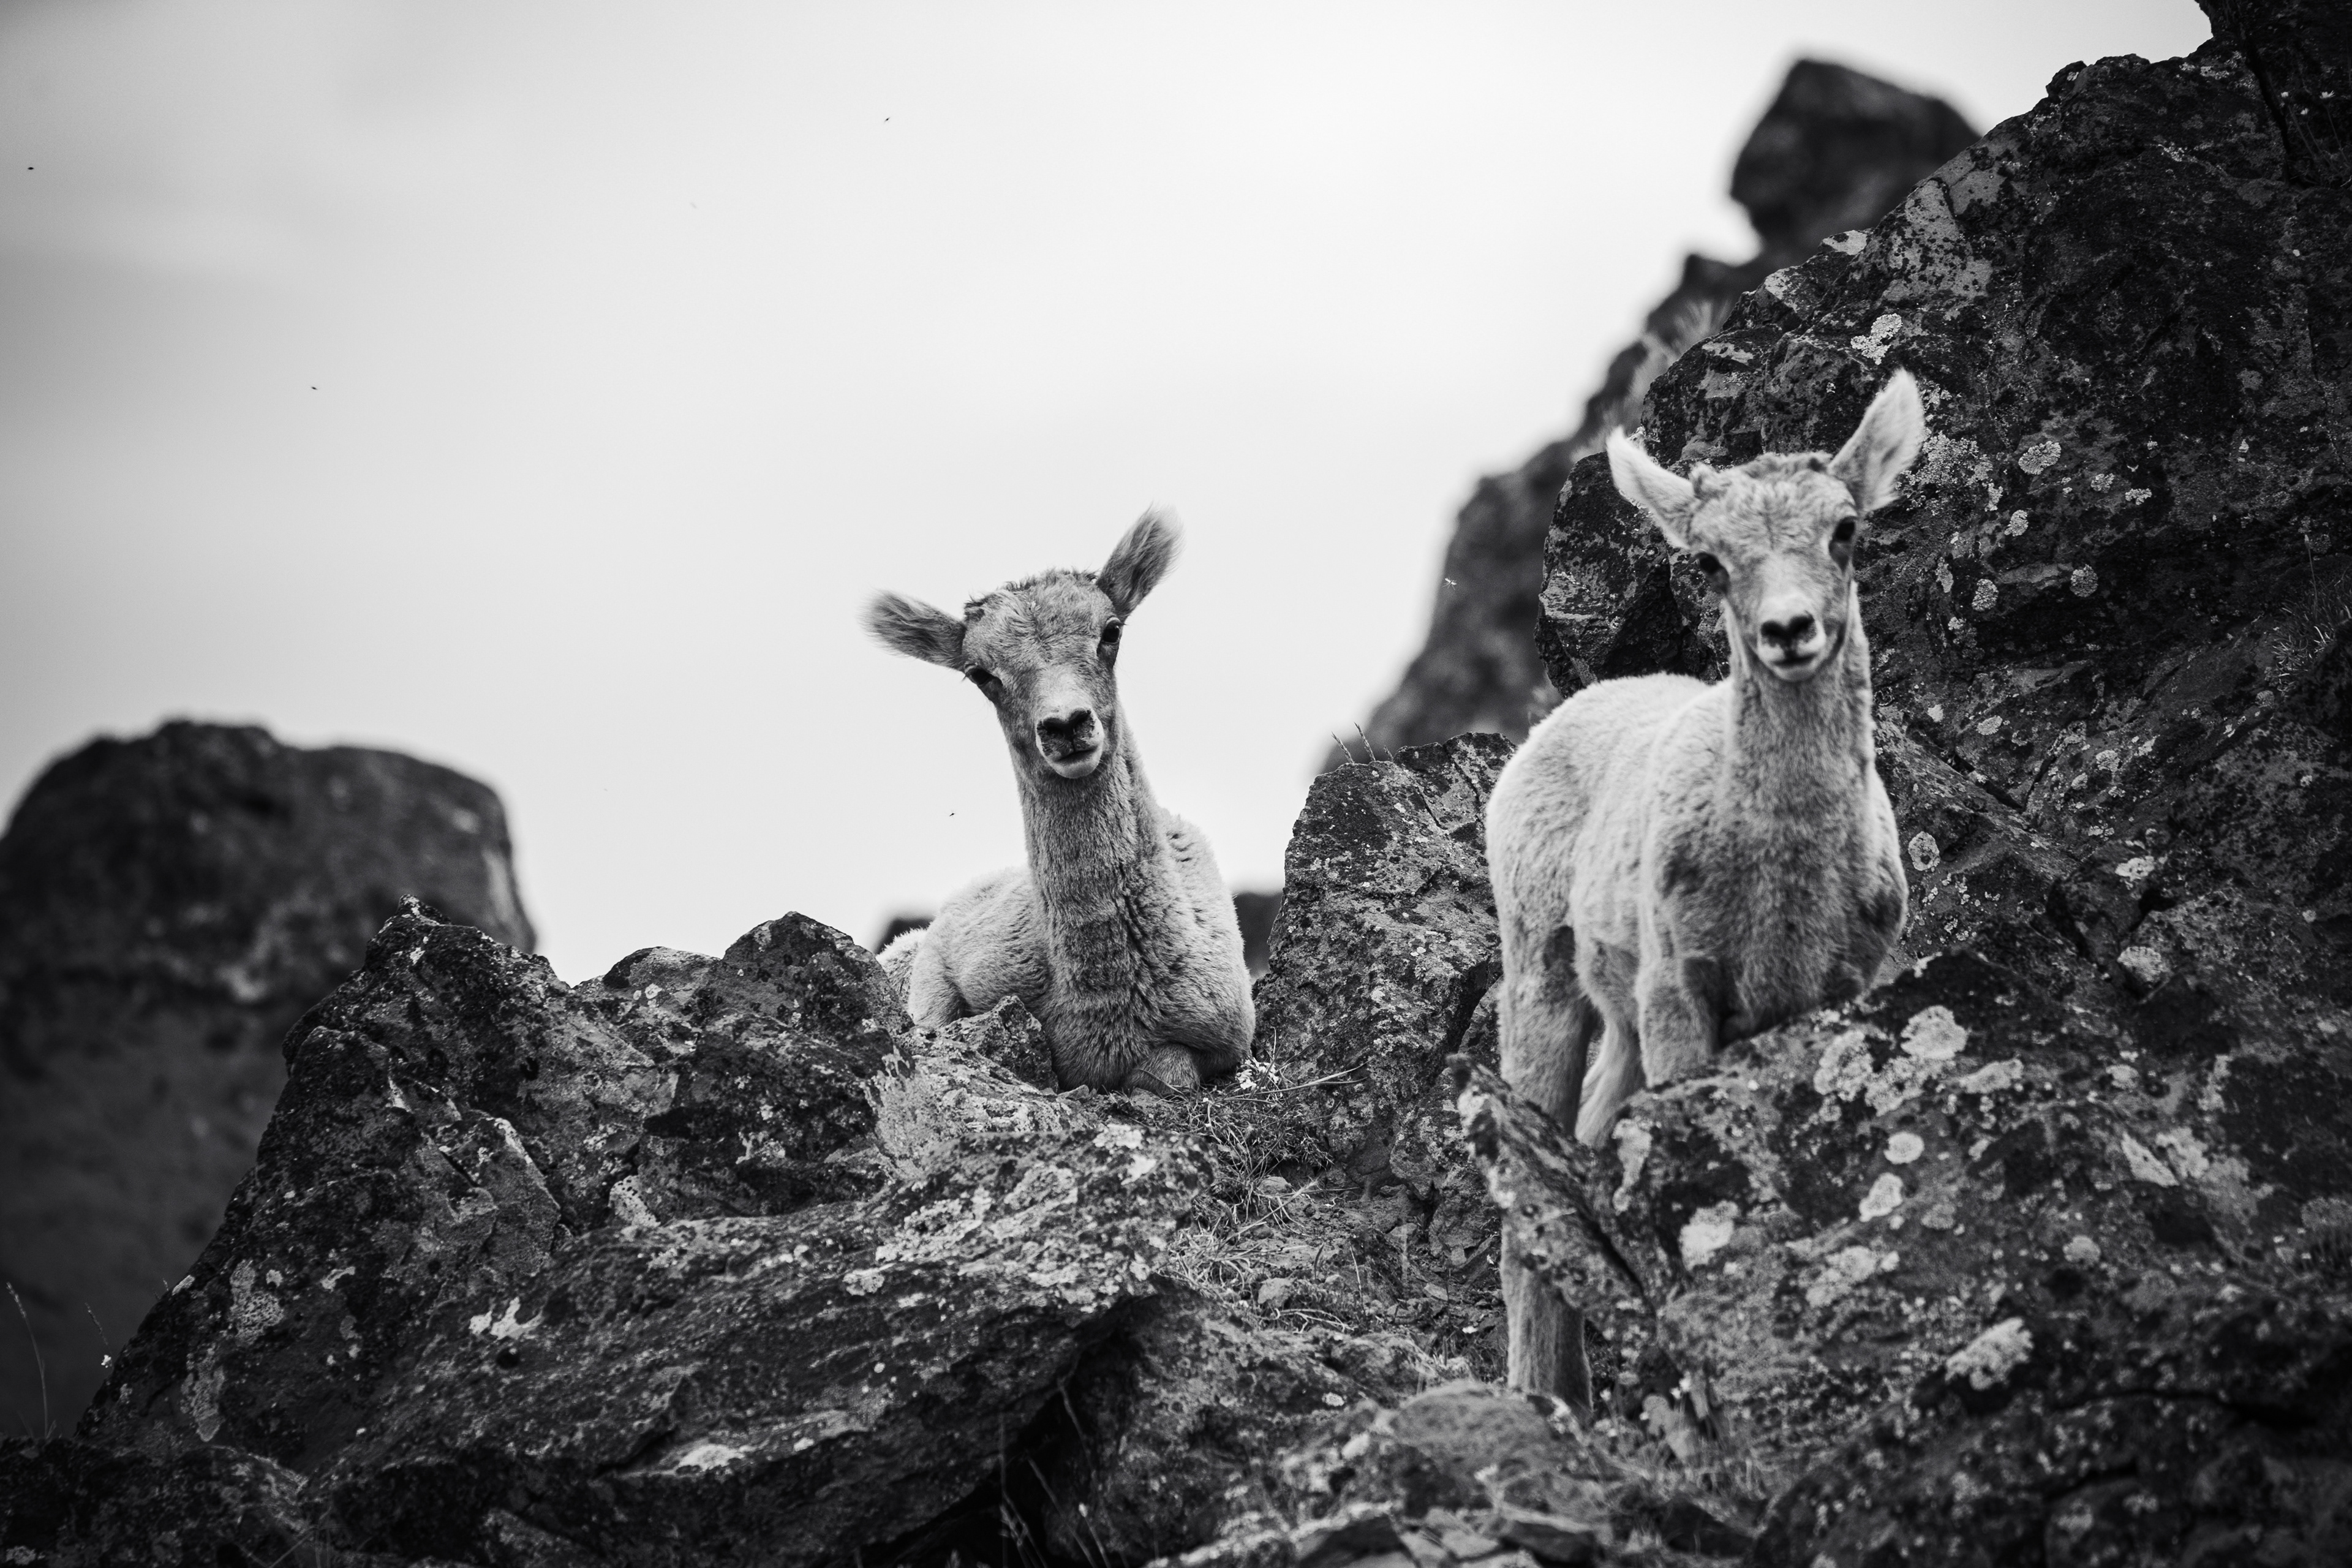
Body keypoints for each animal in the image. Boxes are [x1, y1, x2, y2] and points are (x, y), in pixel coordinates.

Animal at [864, 512, 1254, 1094]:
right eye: (981, 674)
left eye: (1111, 632)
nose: (1067, 725)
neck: (1107, 996)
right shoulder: (941, 968)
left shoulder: (1225, 1036)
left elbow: (1166, 1073)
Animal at [1485, 371, 1924, 1403]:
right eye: (1714, 563)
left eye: (1846, 529)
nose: (1789, 631)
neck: (1784, 888)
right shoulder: (1679, 994)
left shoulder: (1838, 994)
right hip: (1543, 980)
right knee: (1529, 1219)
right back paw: (1545, 1399)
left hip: (1617, 1032)